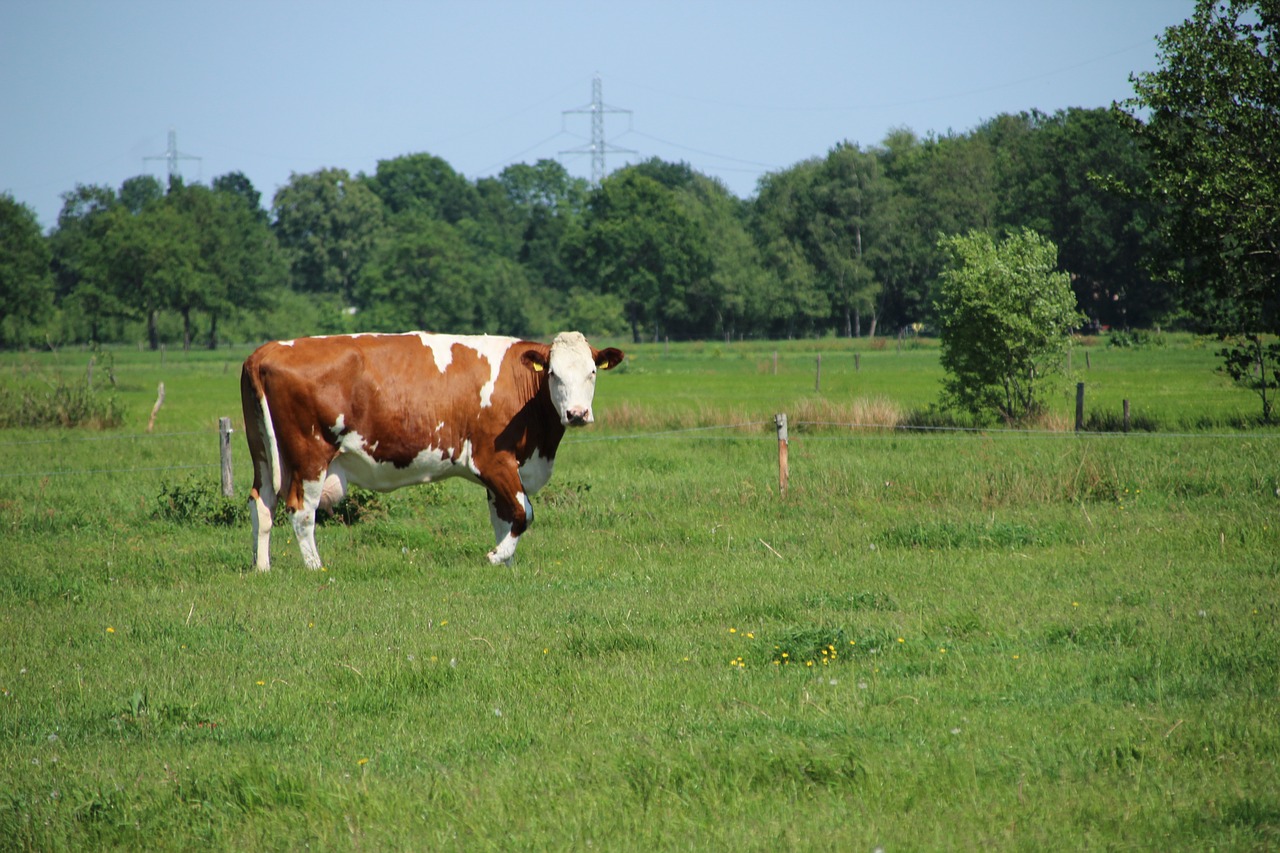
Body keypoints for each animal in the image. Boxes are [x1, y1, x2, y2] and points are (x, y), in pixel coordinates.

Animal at [240, 327, 624, 568]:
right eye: (553, 374)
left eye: (592, 371)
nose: (577, 414)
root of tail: (267, 350)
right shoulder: (494, 460)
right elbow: (521, 513)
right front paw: (496, 557)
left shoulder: (502, 471)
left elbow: (502, 517)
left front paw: (507, 564)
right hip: (310, 454)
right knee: (302, 512)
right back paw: (315, 566)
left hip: (264, 453)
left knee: (262, 504)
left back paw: (263, 567)